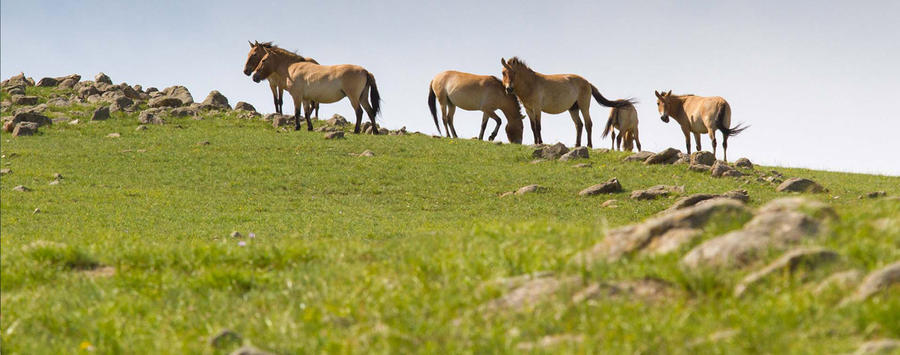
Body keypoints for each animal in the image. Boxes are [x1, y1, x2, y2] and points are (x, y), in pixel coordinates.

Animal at [251, 47, 382, 134]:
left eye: (263, 60)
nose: (254, 77)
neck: (293, 68)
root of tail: (365, 71)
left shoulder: (297, 96)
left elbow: (297, 112)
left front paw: (297, 127)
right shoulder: (305, 98)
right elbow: (306, 112)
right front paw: (309, 128)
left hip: (353, 97)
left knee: (359, 112)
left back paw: (356, 130)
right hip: (363, 97)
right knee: (370, 111)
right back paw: (375, 131)